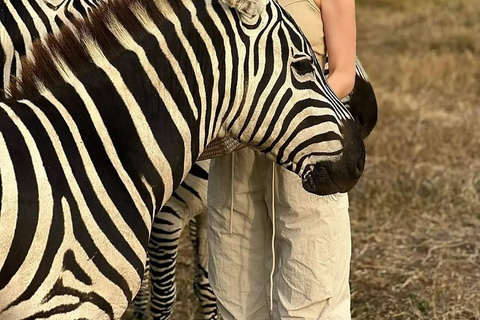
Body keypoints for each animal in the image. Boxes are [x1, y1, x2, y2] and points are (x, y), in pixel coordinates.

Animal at [0, 0, 370, 318]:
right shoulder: (73, 302)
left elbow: (208, 288)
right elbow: (166, 297)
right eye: (303, 66)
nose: (358, 159)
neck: (94, 154)